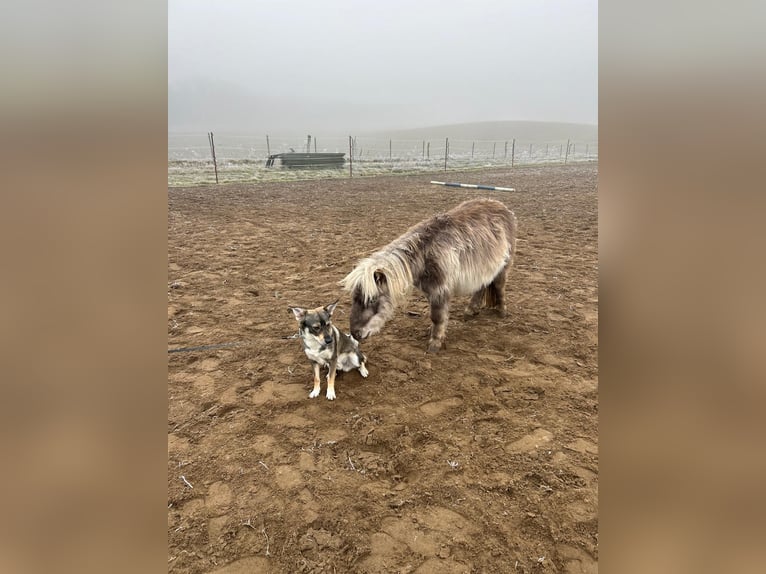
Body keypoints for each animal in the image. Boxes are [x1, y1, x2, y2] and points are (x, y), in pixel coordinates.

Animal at [340, 198, 517, 352]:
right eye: (354, 298)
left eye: (371, 299)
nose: (355, 333)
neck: (425, 253)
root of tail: (502, 207)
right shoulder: (431, 291)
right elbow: (436, 316)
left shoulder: (440, 290)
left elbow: (437, 316)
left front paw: (435, 344)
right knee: (481, 286)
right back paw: (470, 311)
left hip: (503, 266)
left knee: (499, 286)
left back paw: (502, 312)